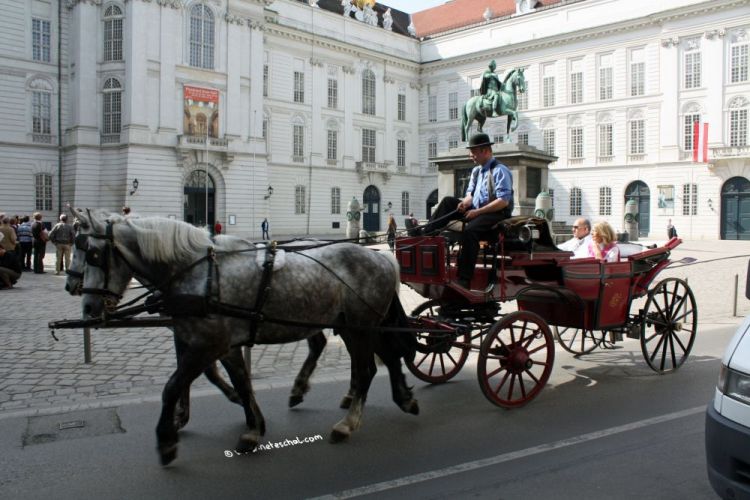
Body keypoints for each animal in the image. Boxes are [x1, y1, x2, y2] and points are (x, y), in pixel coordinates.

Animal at [75, 208, 418, 464]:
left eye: (93, 255)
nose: (87, 306)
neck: (199, 274)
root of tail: (382, 256)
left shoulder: (207, 344)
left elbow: (173, 386)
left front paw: (166, 439)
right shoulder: (217, 344)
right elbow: (238, 380)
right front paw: (253, 426)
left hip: (360, 327)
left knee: (367, 368)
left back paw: (348, 423)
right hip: (354, 326)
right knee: (384, 357)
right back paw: (401, 398)